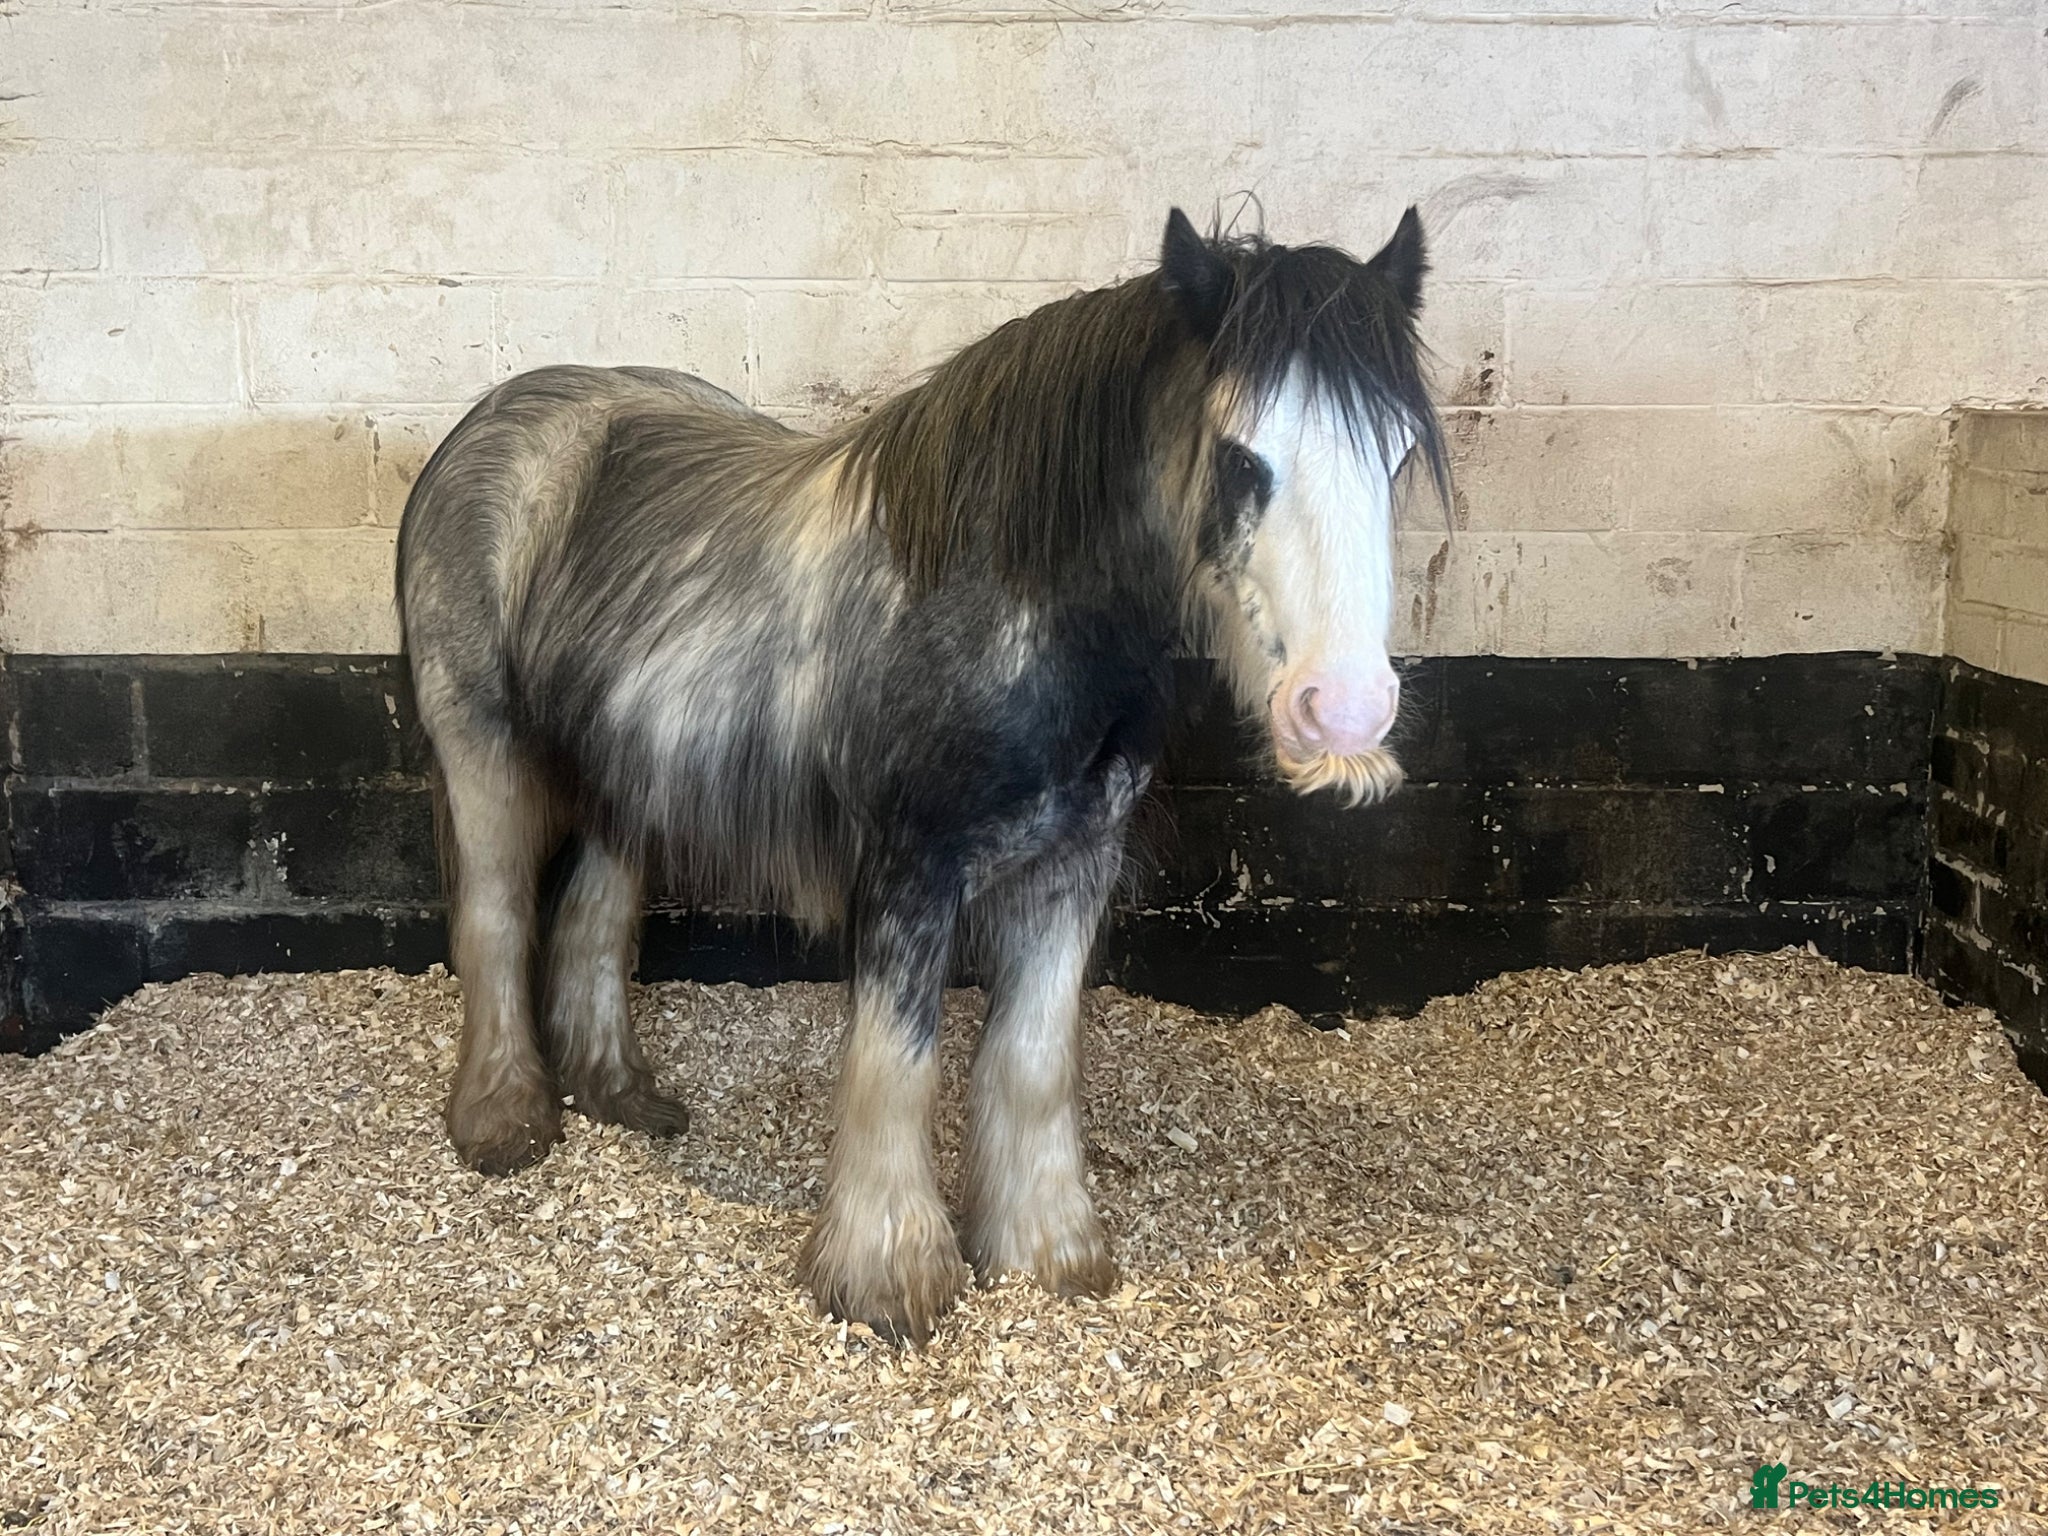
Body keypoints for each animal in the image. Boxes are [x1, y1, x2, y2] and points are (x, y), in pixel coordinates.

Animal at [395, 206, 1446, 1343]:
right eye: (1240, 457)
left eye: (1395, 457)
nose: (1344, 710)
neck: (1011, 608)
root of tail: (497, 419)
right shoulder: (908, 874)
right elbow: (895, 1064)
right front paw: (887, 1277)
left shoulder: (1074, 867)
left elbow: (1031, 1061)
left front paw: (1043, 1253)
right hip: (482, 748)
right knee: (498, 919)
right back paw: (505, 1118)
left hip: (623, 774)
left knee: (591, 919)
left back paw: (619, 1094)